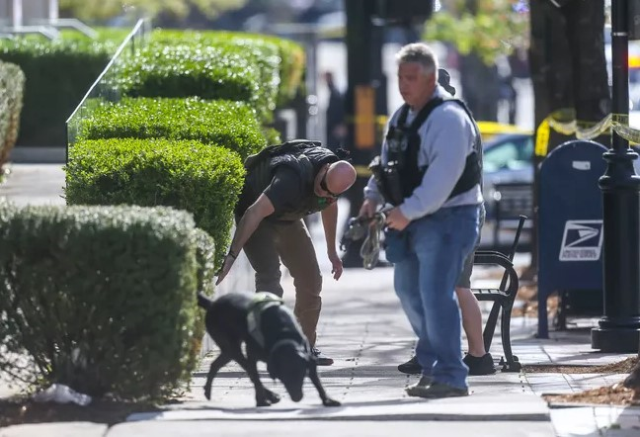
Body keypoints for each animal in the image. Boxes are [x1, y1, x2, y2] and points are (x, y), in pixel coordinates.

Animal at [198, 292, 342, 408]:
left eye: (302, 375)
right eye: (284, 376)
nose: (297, 397)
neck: (284, 334)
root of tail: (212, 304)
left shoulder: (308, 359)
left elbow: (317, 382)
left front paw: (327, 400)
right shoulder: (252, 355)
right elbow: (255, 377)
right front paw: (261, 401)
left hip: (228, 351)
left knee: (215, 364)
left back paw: (207, 391)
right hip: (231, 347)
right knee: (245, 368)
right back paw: (270, 395)